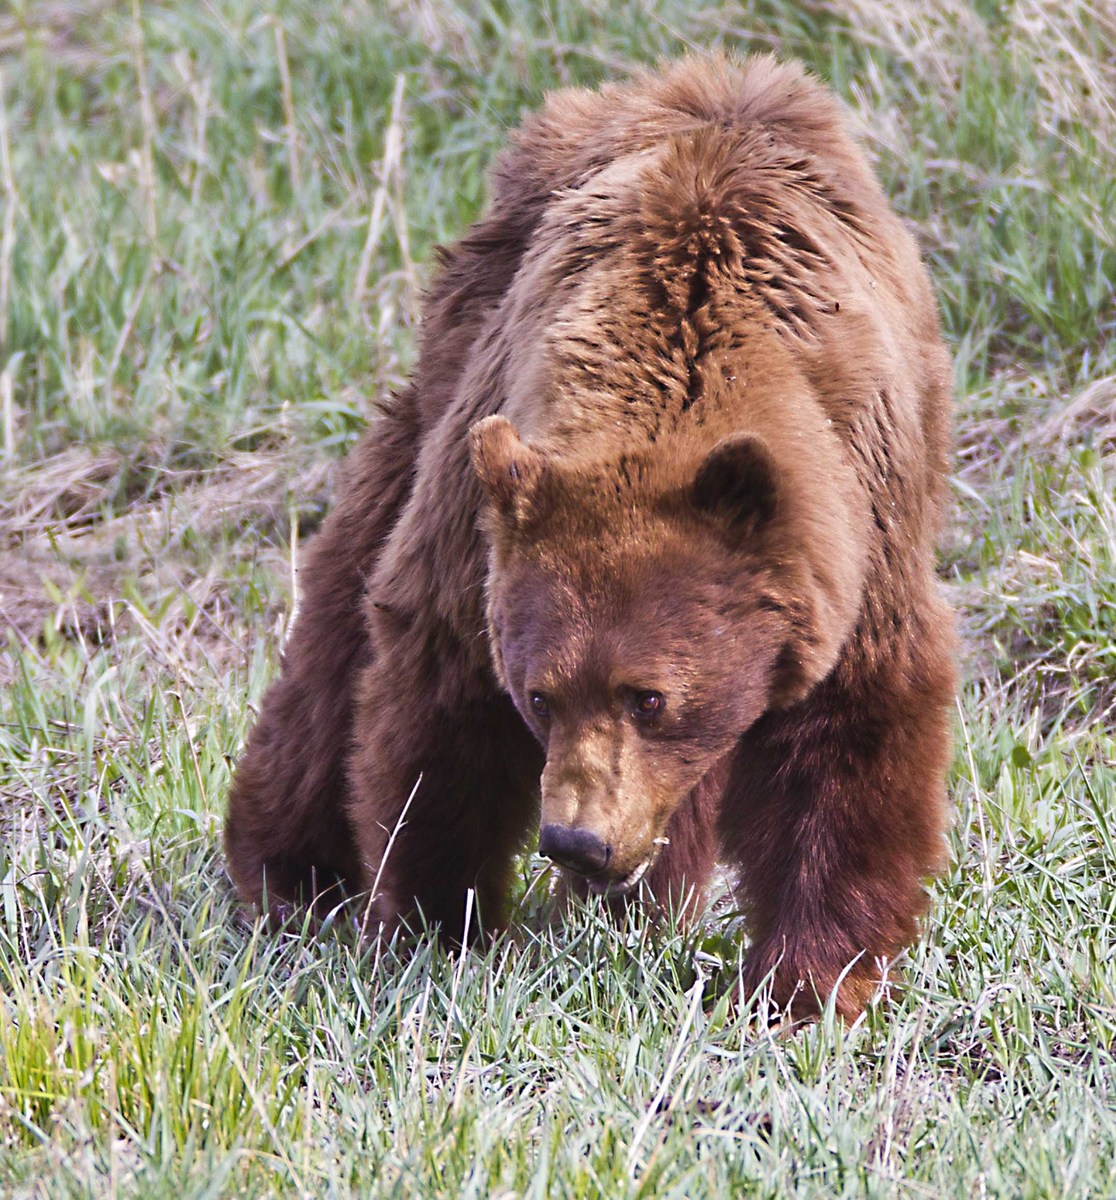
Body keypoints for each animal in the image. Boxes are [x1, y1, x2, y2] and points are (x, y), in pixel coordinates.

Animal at [224, 53, 956, 1021]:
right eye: (539, 695)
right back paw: (289, 869)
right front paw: (436, 924)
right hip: (449, 355)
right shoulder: (480, 506)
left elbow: (854, 732)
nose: (576, 840)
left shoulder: (861, 514)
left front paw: (808, 981)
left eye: (649, 697)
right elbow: (436, 704)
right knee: (343, 605)